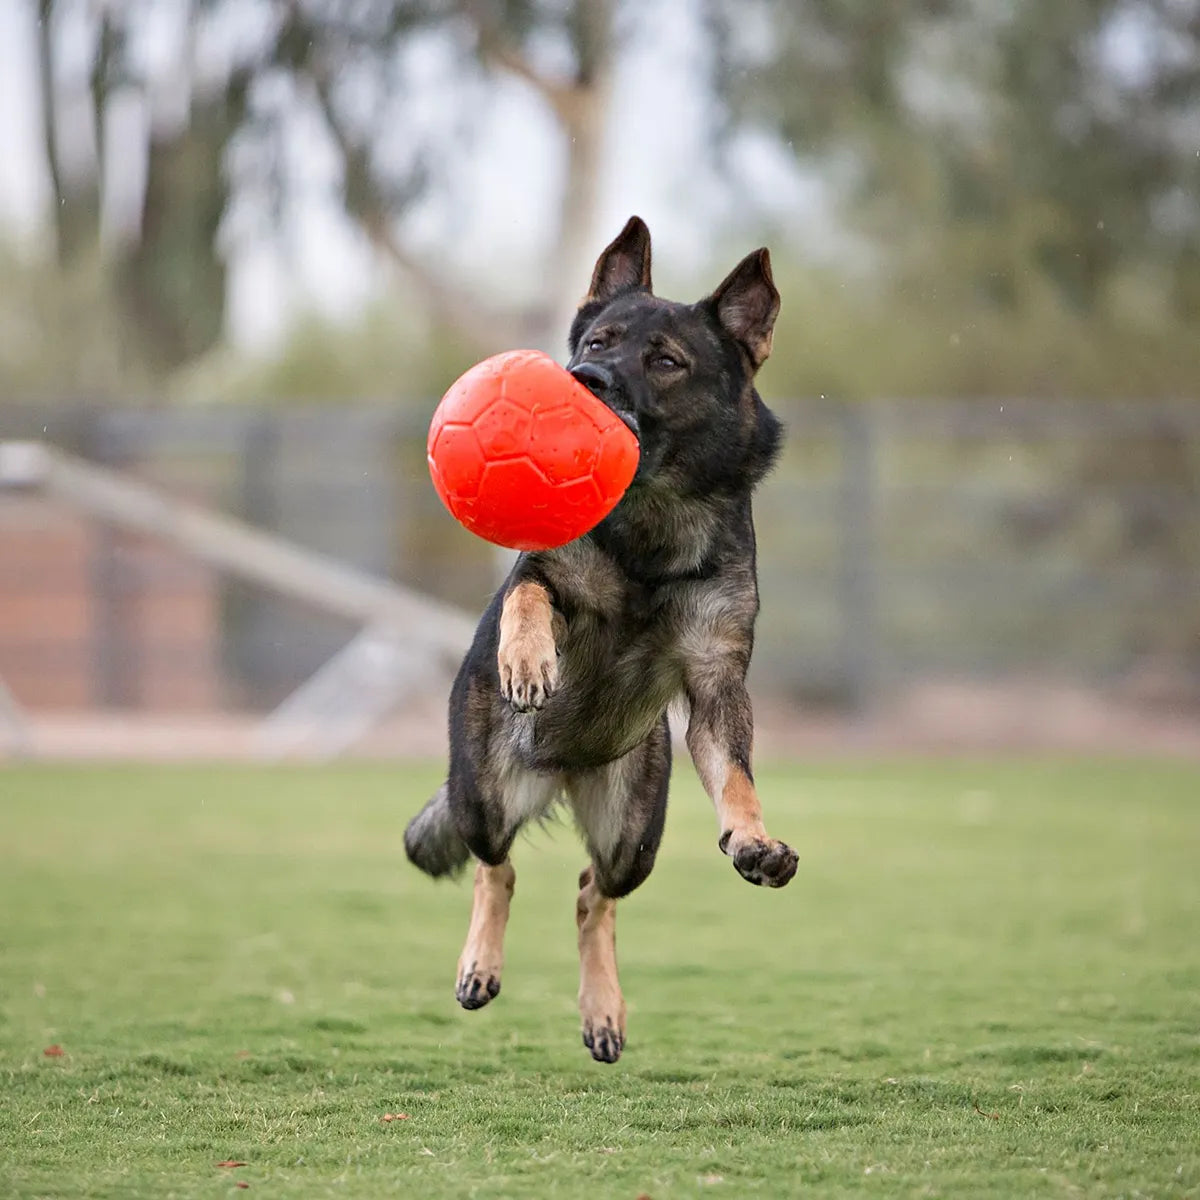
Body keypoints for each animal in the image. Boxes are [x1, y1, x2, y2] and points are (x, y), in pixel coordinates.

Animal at [405, 216, 796, 1060]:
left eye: (666, 361)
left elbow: (738, 778)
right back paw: (480, 964)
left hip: (632, 835)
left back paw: (602, 1011)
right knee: (496, 868)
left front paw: (752, 840)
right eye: (598, 340)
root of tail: (561, 770)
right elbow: (527, 592)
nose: (585, 378)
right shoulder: (544, 571)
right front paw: (528, 659)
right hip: (483, 792)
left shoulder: (716, 687)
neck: (652, 525)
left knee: (593, 892)